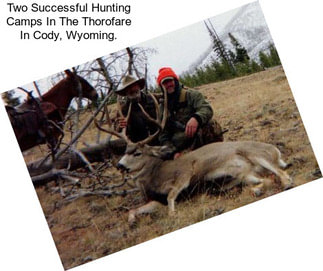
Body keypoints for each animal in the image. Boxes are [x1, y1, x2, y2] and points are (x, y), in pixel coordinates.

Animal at [95, 89, 294, 225]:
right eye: (124, 152)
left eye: (137, 153)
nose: (120, 166)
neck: (157, 176)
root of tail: (275, 150)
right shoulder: (156, 200)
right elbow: (134, 209)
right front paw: (131, 221)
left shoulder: (184, 175)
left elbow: (171, 196)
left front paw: (173, 215)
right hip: (247, 174)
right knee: (266, 179)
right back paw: (255, 189)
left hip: (257, 154)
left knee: (281, 173)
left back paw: (285, 183)